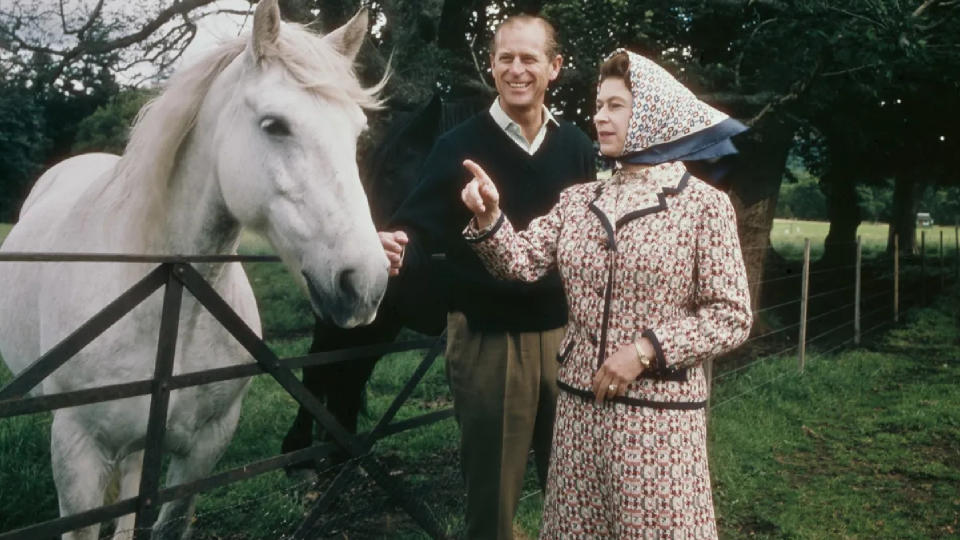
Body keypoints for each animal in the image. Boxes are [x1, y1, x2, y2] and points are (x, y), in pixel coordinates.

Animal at [0, 2, 390, 536]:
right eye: (275, 125)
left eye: (356, 133)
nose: (366, 283)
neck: (168, 302)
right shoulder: (77, 452)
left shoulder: (206, 447)